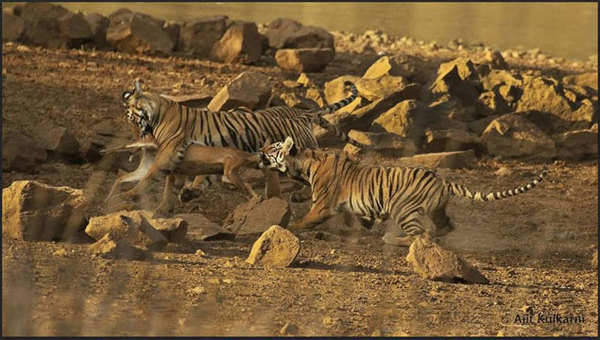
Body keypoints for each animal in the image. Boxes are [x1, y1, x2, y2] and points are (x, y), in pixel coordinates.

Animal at [106, 79, 360, 207]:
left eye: (130, 118)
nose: (137, 135)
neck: (160, 111)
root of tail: (302, 113)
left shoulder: (166, 155)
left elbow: (149, 177)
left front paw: (131, 194)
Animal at [258, 137, 548, 246]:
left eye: (273, 148)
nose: (258, 151)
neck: (303, 165)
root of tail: (443, 180)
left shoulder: (323, 205)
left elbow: (305, 219)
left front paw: (288, 226)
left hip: (403, 209)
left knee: (419, 235)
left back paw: (392, 239)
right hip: (437, 210)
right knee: (443, 227)